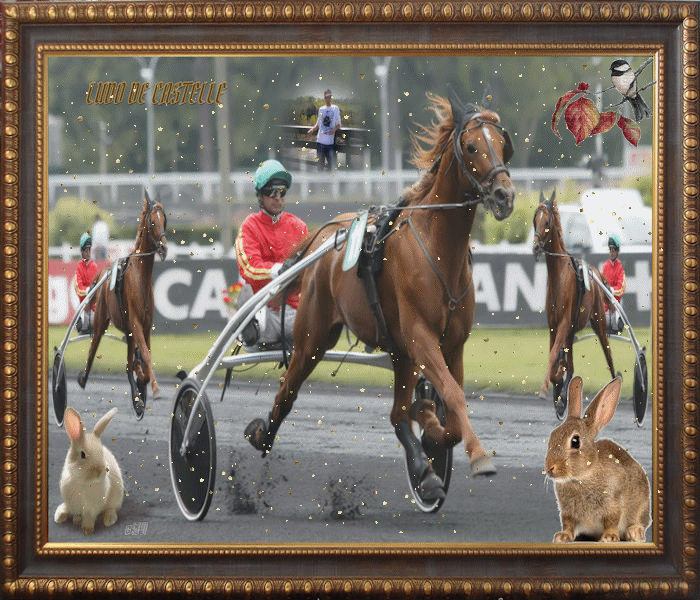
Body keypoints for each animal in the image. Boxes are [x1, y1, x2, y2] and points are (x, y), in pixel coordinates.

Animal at [78, 192, 168, 419]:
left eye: (164, 220)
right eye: (152, 221)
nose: (163, 247)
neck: (140, 275)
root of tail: (103, 272)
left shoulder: (144, 326)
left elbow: (142, 360)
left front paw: (142, 382)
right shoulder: (135, 323)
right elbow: (145, 356)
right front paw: (154, 389)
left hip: (128, 331)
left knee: (128, 365)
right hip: (101, 320)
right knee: (93, 347)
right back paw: (82, 378)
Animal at [244, 89, 516, 503]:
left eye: (501, 144)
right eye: (471, 146)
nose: (505, 195)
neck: (436, 247)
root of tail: (328, 236)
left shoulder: (451, 343)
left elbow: (449, 410)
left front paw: (429, 422)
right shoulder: (421, 338)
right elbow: (453, 395)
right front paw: (479, 455)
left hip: (399, 352)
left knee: (396, 414)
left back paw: (423, 468)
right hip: (313, 335)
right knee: (287, 391)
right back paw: (261, 433)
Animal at [532, 190, 617, 416]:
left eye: (547, 222)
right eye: (535, 220)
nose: (535, 247)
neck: (559, 276)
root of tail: (595, 273)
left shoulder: (563, 324)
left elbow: (554, 356)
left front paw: (547, 390)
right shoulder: (554, 326)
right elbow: (558, 362)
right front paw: (559, 394)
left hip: (598, 322)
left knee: (608, 354)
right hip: (570, 331)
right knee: (570, 363)